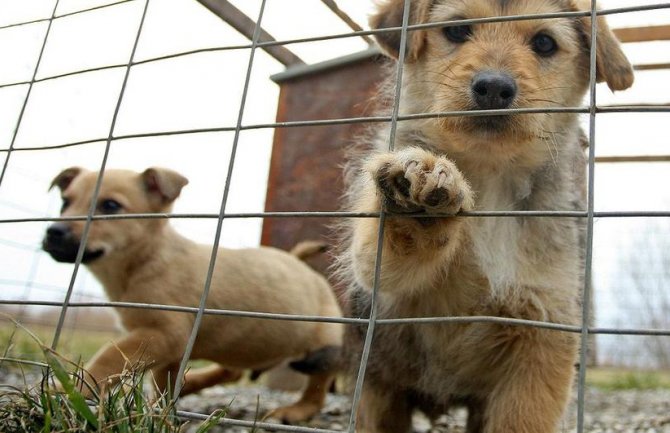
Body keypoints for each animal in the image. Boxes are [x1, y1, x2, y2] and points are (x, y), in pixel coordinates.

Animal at [42, 167, 344, 424]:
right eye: (64, 202)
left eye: (111, 206)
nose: (53, 232)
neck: (146, 259)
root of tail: (301, 264)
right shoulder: (169, 346)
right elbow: (162, 382)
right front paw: (159, 411)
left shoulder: (164, 334)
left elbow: (109, 357)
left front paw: (67, 390)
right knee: (232, 370)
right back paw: (193, 384)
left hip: (322, 340)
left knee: (320, 379)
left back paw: (298, 410)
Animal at [342, 0, 636, 432]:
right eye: (457, 30)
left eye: (544, 43)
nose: (494, 87)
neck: (489, 177)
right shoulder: (383, 285)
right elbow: (388, 258)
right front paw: (418, 193)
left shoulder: (544, 335)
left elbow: (522, 420)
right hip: (378, 389)